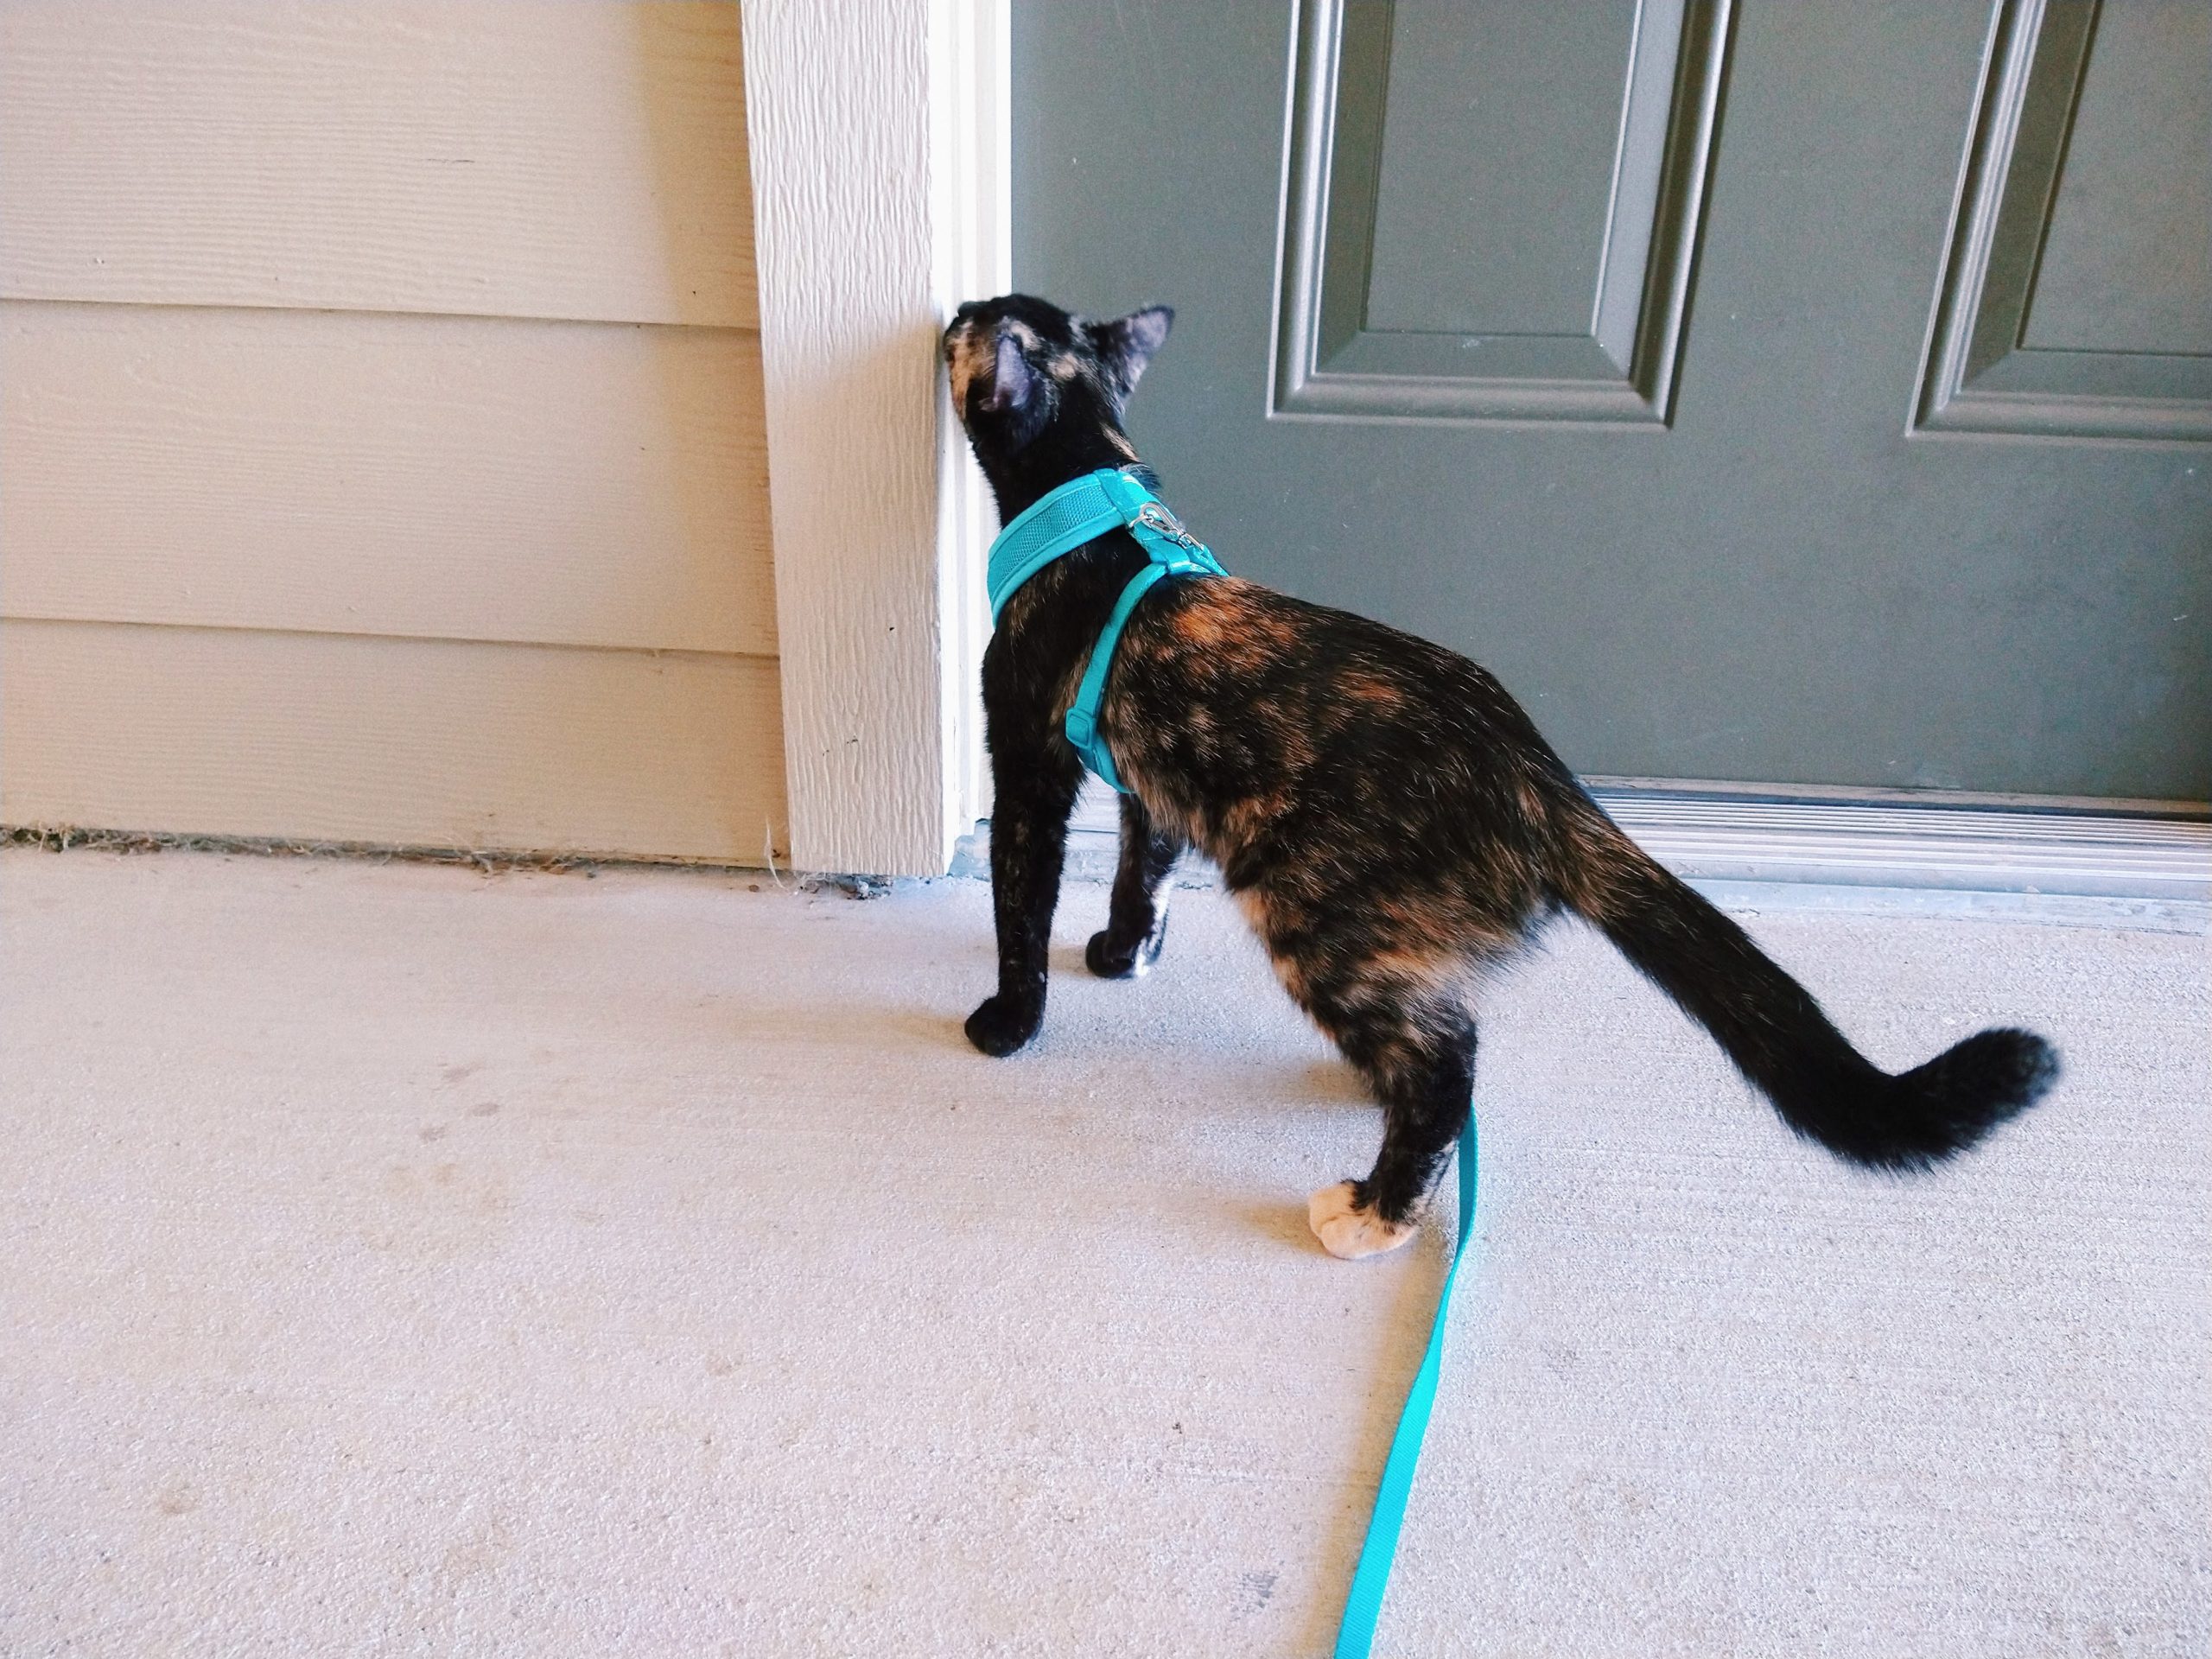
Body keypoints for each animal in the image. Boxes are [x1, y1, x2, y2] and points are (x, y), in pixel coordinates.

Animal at [946, 296, 2052, 1256]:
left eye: (977, 318)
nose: (953, 307)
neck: (1096, 499)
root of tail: (1539, 779)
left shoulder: (1029, 762)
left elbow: (1019, 896)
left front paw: (1008, 1022)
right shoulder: (1152, 779)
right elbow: (1144, 870)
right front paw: (1121, 954)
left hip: (1315, 914)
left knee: (1447, 1063)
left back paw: (1374, 1213)